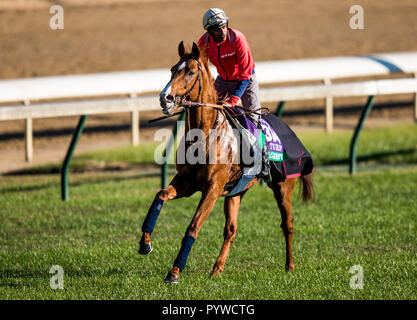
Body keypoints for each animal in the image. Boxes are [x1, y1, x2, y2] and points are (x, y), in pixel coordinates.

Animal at [138, 41, 314, 284]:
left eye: (190, 71)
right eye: (172, 69)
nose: (165, 98)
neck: (205, 134)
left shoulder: (212, 188)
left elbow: (193, 227)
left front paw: (174, 271)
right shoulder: (187, 182)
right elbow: (161, 195)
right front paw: (145, 243)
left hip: (283, 187)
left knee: (287, 224)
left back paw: (289, 265)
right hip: (236, 192)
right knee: (231, 229)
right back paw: (217, 269)